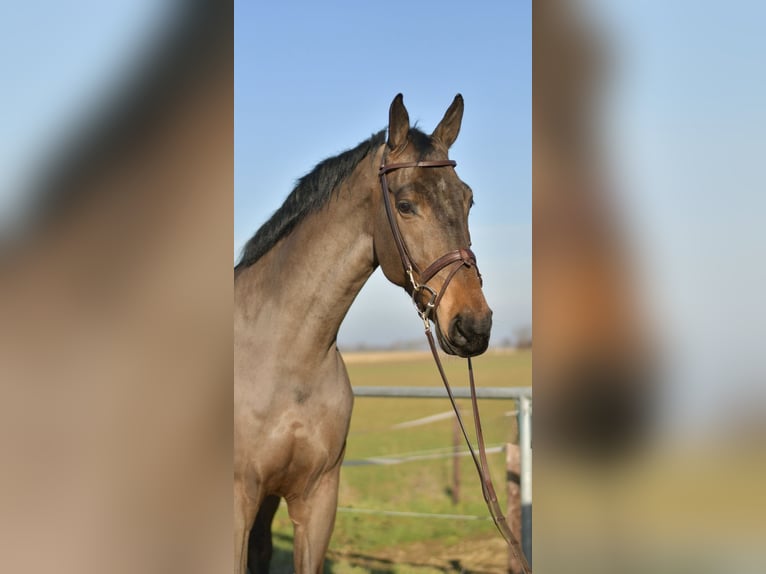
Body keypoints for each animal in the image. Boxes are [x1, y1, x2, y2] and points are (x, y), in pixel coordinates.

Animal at [234, 93, 492, 574]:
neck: (284, 359)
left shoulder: (317, 501)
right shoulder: (238, 501)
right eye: (405, 205)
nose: (474, 325)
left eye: (467, 200)